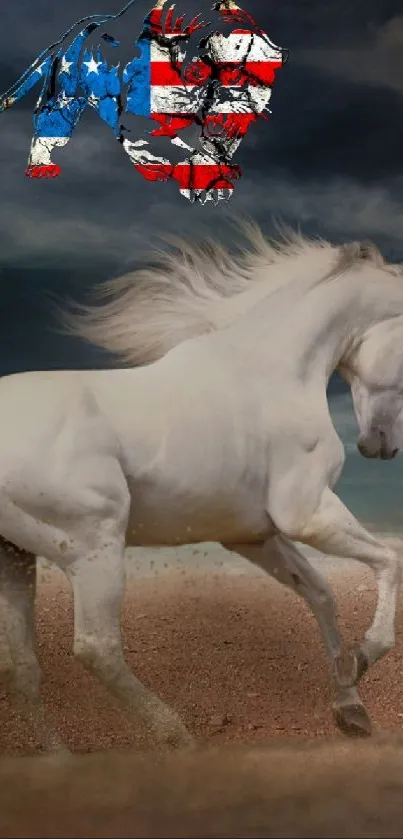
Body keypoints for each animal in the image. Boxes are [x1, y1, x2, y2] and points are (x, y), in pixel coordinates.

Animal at [0, 223, 403, 756]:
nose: (380, 445)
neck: (269, 372)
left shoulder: (252, 536)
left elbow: (320, 593)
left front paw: (350, 707)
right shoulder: (308, 515)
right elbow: (389, 561)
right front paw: (364, 656)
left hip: (14, 557)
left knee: (21, 665)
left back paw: (61, 761)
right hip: (93, 547)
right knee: (96, 648)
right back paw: (178, 739)